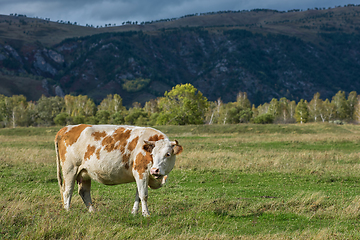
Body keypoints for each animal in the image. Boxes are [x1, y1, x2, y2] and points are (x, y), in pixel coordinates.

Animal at [55, 124, 183, 217]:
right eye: (152, 154)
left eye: (168, 154)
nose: (155, 170)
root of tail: (66, 128)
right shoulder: (141, 172)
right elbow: (143, 195)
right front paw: (146, 214)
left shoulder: (141, 175)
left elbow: (138, 195)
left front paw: (134, 212)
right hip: (70, 170)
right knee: (67, 191)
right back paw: (67, 211)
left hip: (84, 173)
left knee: (84, 192)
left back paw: (93, 211)